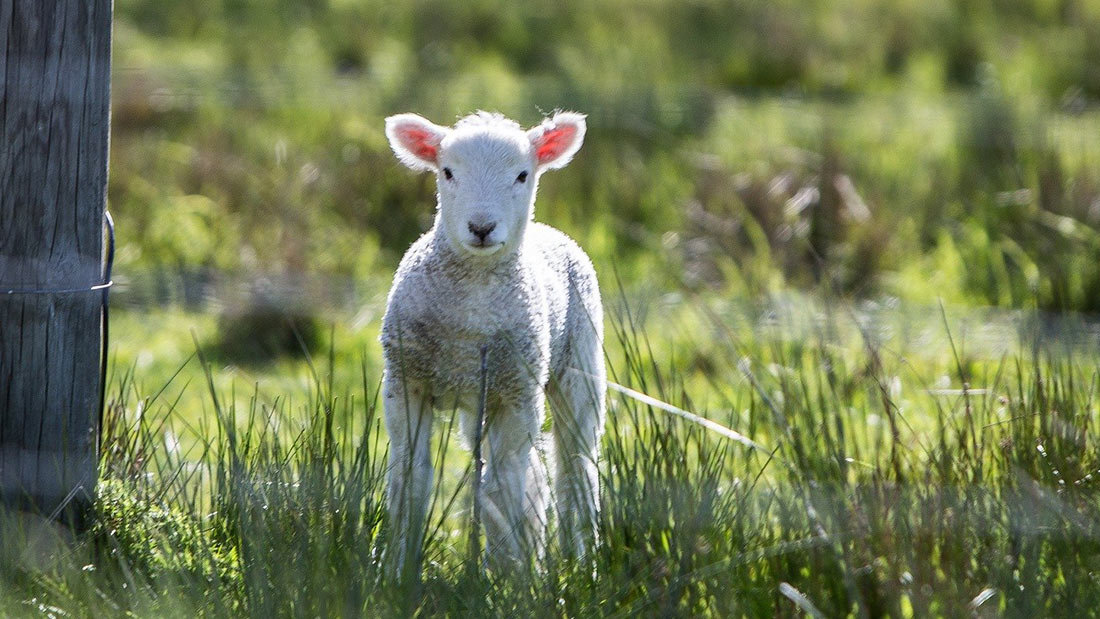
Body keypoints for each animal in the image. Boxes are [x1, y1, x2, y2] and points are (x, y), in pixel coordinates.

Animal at [376, 107, 602, 576]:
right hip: (476, 400)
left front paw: (509, 578)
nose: (481, 227)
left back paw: (579, 562)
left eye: (522, 175)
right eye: (447, 172)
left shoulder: (516, 394)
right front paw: (397, 571)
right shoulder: (406, 383)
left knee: (574, 467)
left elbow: (501, 488)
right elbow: (411, 477)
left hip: (579, 366)